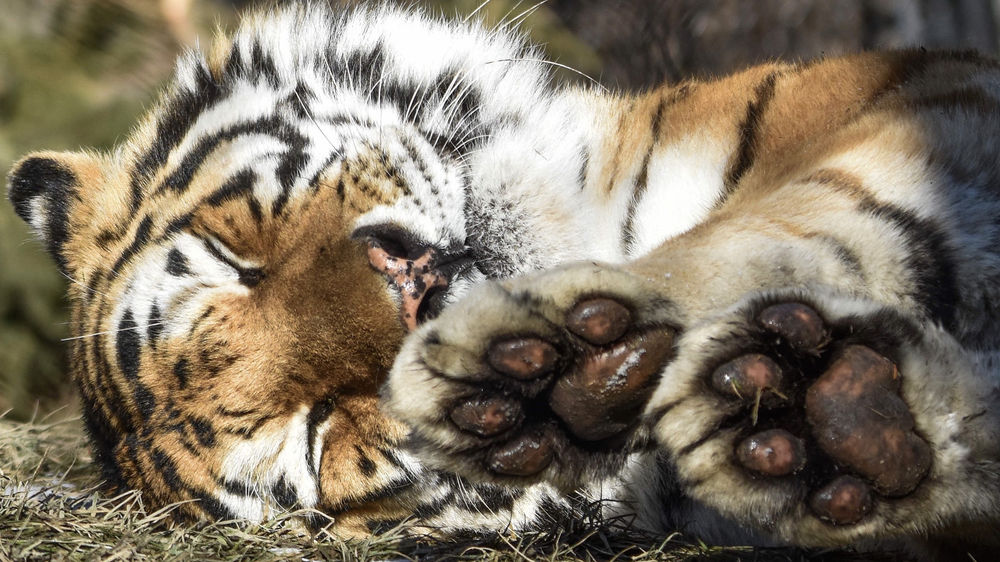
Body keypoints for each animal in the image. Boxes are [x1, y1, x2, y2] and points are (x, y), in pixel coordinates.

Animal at [6, 2, 1000, 558]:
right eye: (317, 433)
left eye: (237, 265)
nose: (416, 295)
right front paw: (813, 417)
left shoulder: (933, 97)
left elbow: (805, 214)